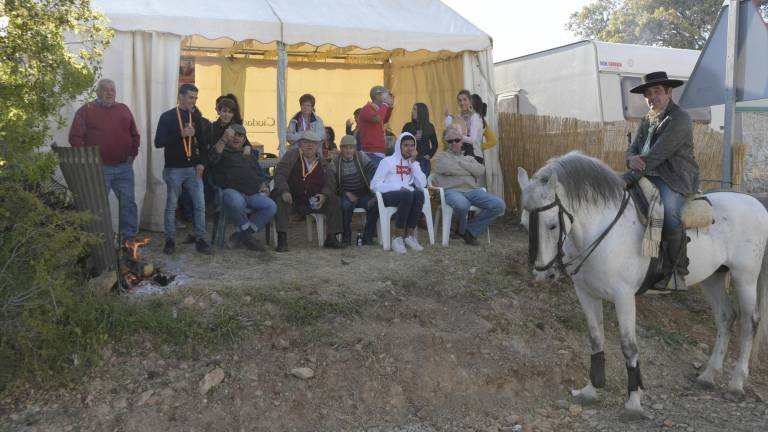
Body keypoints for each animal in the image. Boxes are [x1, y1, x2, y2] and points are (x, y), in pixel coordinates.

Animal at [516, 153, 768, 418]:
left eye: (552, 225)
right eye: (524, 224)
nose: (543, 274)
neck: (604, 228)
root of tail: (754, 202)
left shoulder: (624, 296)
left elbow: (629, 347)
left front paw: (634, 401)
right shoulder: (586, 294)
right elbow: (595, 340)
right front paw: (591, 389)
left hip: (745, 277)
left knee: (749, 322)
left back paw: (736, 383)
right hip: (713, 278)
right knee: (725, 317)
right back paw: (708, 376)